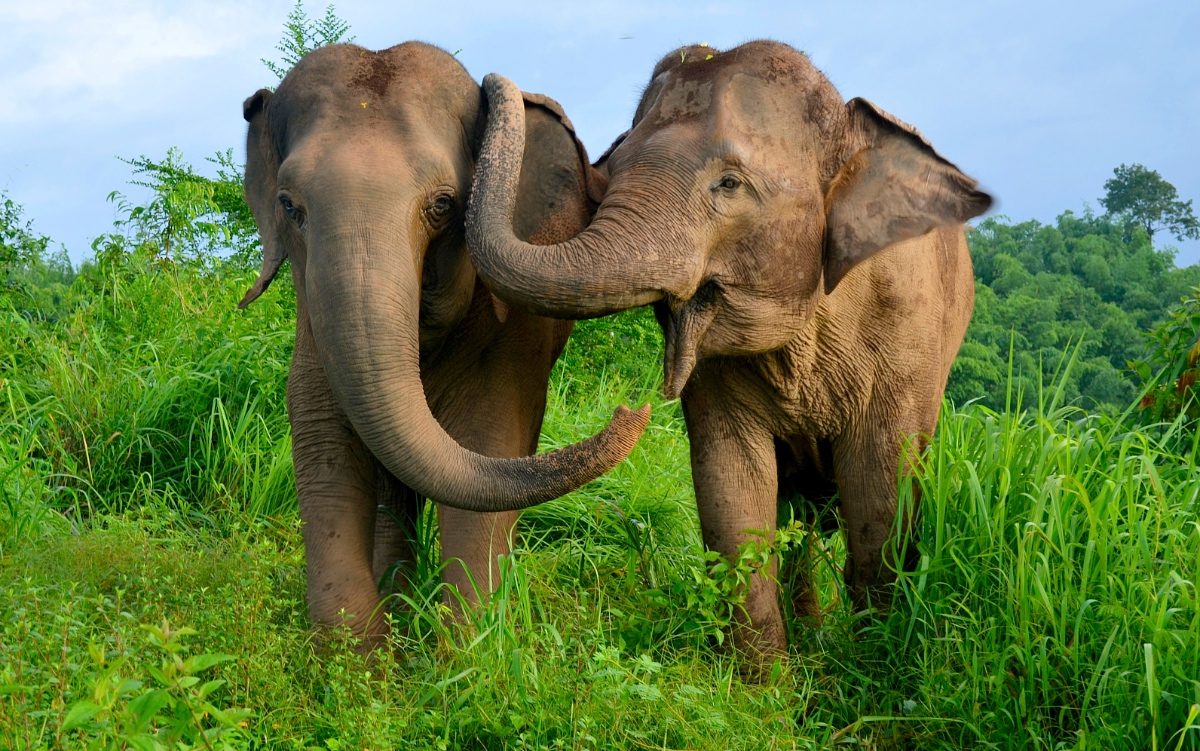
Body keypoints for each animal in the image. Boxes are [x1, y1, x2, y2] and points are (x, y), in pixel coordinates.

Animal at [239, 41, 648, 647]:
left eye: (443, 206)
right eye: (290, 206)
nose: (631, 409)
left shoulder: (509, 332)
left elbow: (489, 435)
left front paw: (467, 650)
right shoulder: (312, 316)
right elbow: (323, 437)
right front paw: (357, 658)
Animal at [466, 40, 991, 661]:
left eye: (730, 184)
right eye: (609, 172)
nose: (504, 84)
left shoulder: (906, 334)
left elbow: (881, 494)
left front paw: (871, 664)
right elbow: (732, 486)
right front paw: (768, 683)